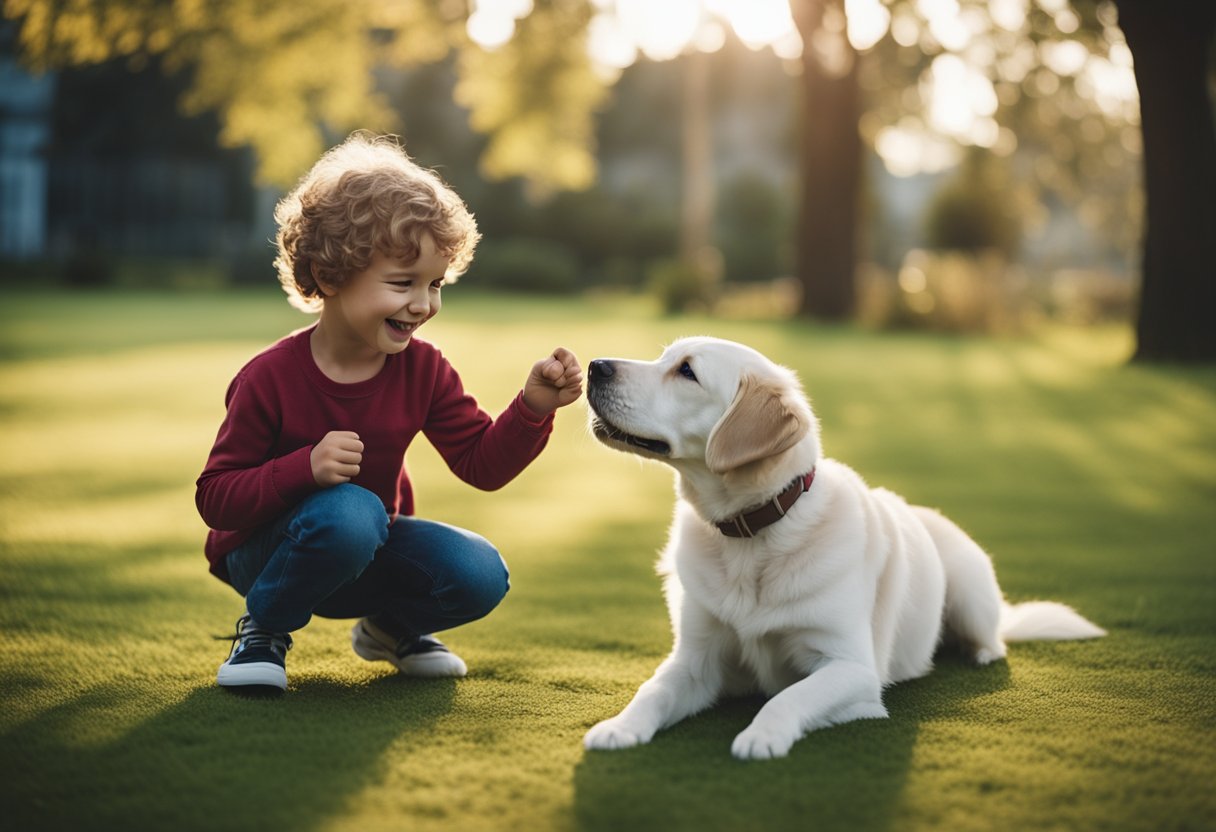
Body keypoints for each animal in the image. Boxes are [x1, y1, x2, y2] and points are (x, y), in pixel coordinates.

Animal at [583, 335, 1108, 759]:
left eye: (687, 371)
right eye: (664, 357)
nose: (594, 365)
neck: (752, 537)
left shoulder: (852, 667)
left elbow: (787, 696)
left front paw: (762, 736)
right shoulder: (696, 660)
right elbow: (652, 690)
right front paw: (619, 727)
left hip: (971, 593)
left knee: (994, 639)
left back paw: (975, 652)